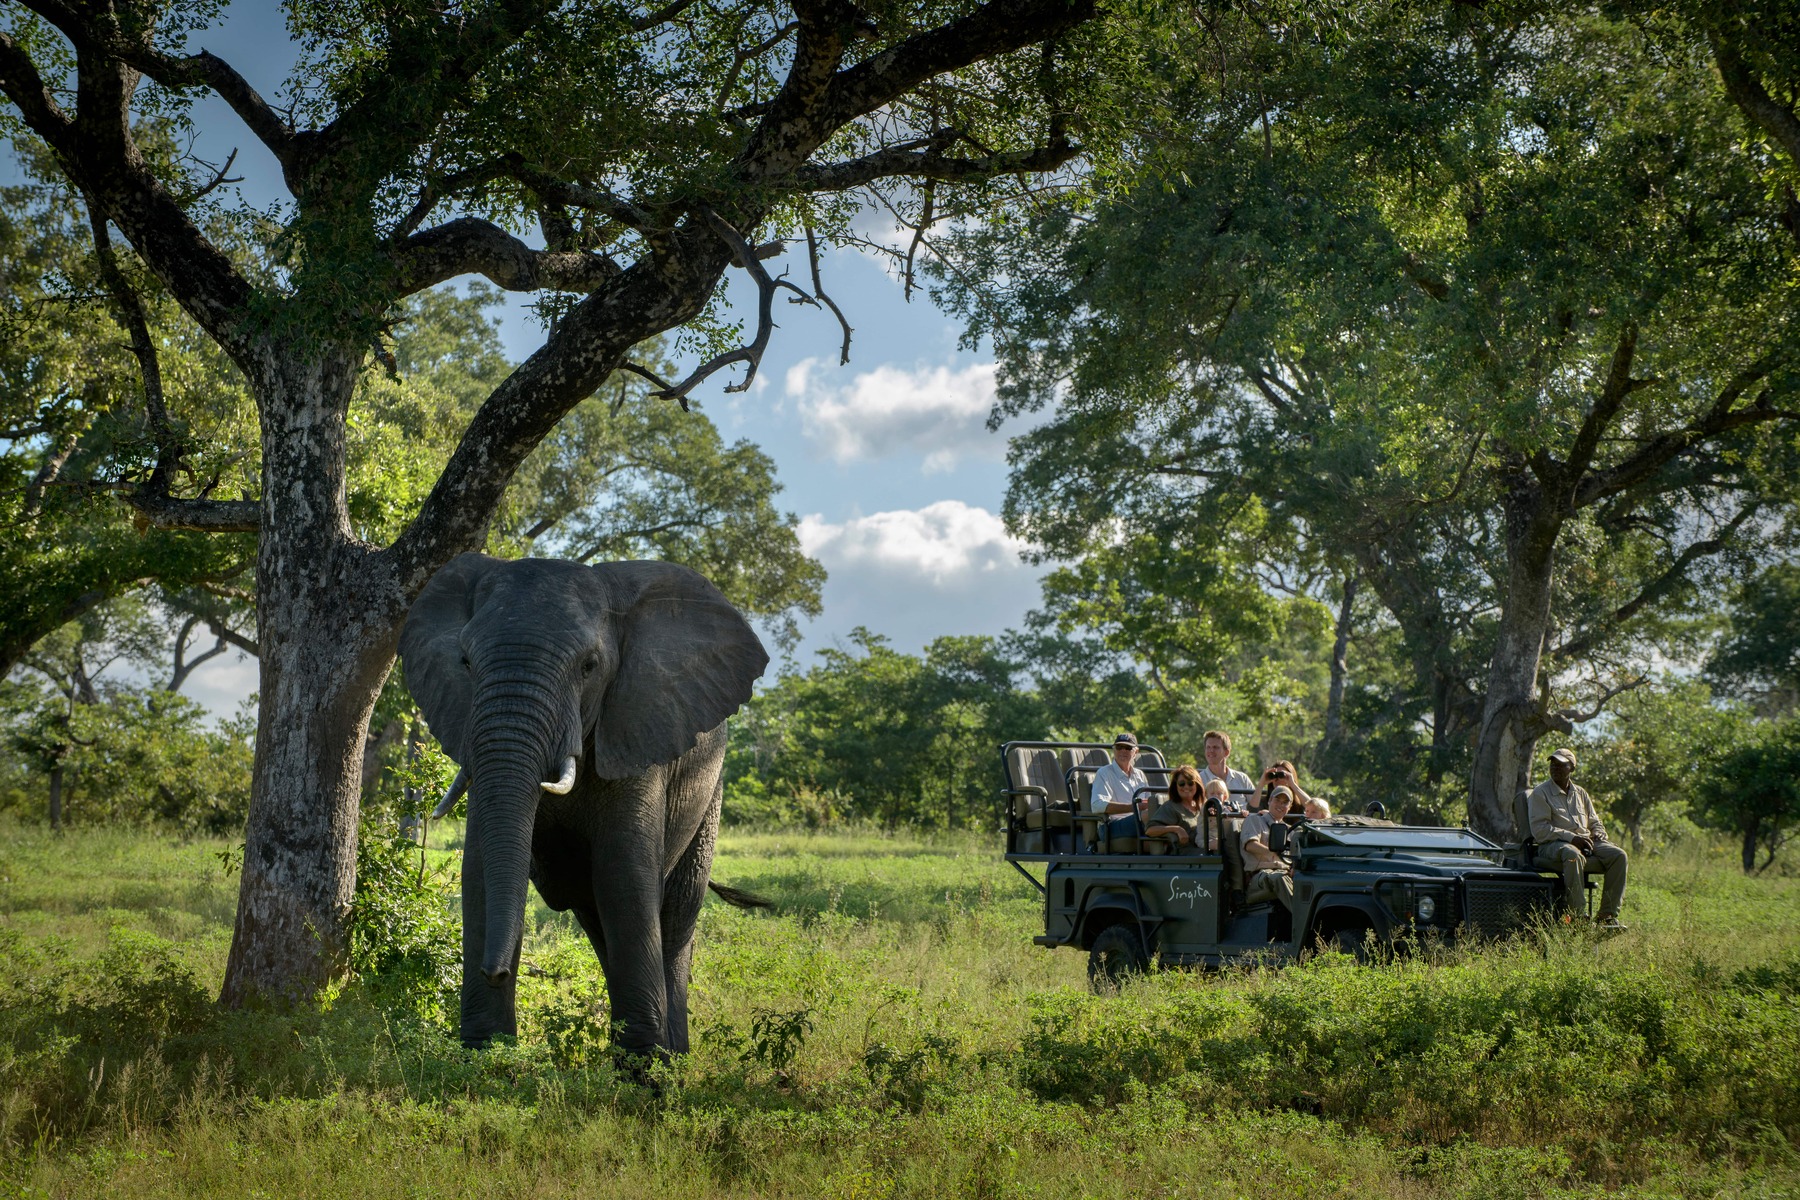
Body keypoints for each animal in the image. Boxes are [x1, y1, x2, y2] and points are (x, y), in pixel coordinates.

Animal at [397, 550, 770, 1057]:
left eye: (589, 666)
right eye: (465, 662)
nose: (496, 971)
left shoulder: (636, 726)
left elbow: (623, 874)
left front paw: (645, 1067)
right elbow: (479, 868)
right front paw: (484, 1056)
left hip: (710, 790)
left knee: (674, 917)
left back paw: (673, 1054)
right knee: (598, 921)